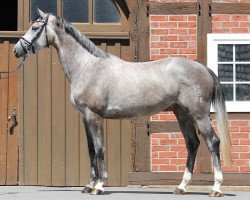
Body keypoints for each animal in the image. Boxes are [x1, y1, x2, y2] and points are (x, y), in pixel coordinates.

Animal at [13, 9, 232, 197]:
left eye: (35, 27)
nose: (17, 50)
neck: (88, 67)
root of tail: (204, 68)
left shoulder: (94, 116)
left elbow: (99, 149)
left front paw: (99, 186)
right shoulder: (85, 117)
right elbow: (91, 150)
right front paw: (88, 185)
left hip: (199, 115)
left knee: (213, 142)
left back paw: (216, 188)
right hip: (182, 114)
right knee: (192, 144)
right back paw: (181, 187)